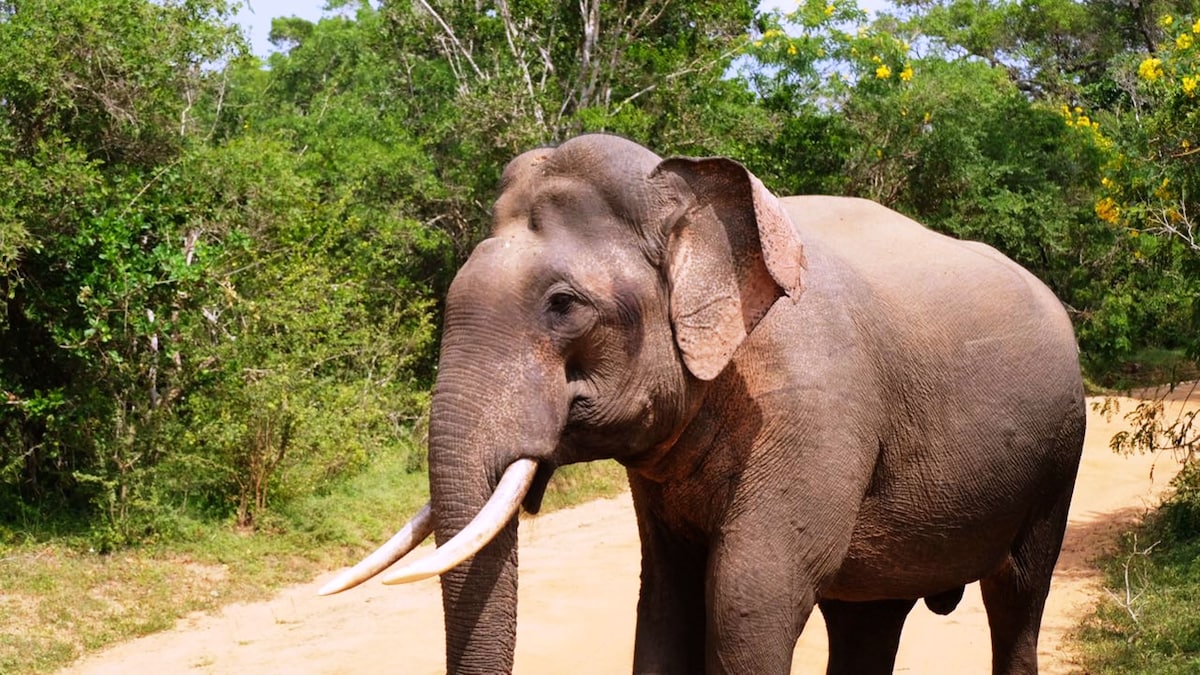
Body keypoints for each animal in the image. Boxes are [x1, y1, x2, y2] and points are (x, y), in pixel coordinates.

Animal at [319, 133, 1089, 667]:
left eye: (563, 305)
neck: (691, 194)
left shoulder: (814, 408)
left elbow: (749, 596)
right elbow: (667, 598)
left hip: (1058, 457)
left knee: (1017, 599)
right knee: (868, 617)